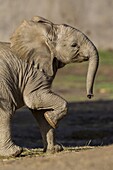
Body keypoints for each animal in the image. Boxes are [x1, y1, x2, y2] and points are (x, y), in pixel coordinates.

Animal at [0, 16, 99, 157]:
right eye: (74, 45)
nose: (89, 95)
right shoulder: (36, 72)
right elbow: (34, 99)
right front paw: (51, 119)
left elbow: (39, 110)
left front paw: (54, 149)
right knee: (6, 110)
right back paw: (14, 152)